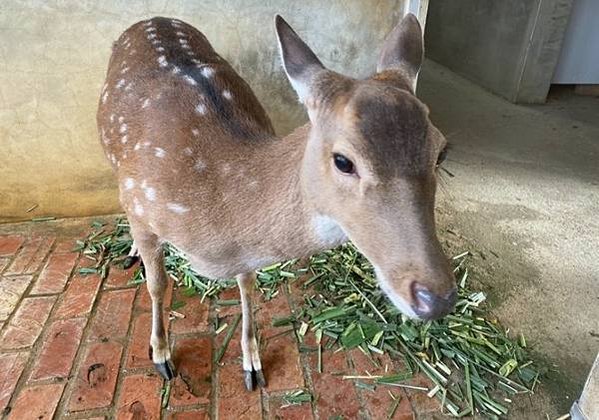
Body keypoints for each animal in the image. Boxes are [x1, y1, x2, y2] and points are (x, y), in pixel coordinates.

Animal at [97, 12, 454, 390]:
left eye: (441, 151)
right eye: (343, 161)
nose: (437, 298)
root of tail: (153, 18)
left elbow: (247, 285)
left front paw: (251, 364)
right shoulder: (141, 202)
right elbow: (157, 284)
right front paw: (161, 355)